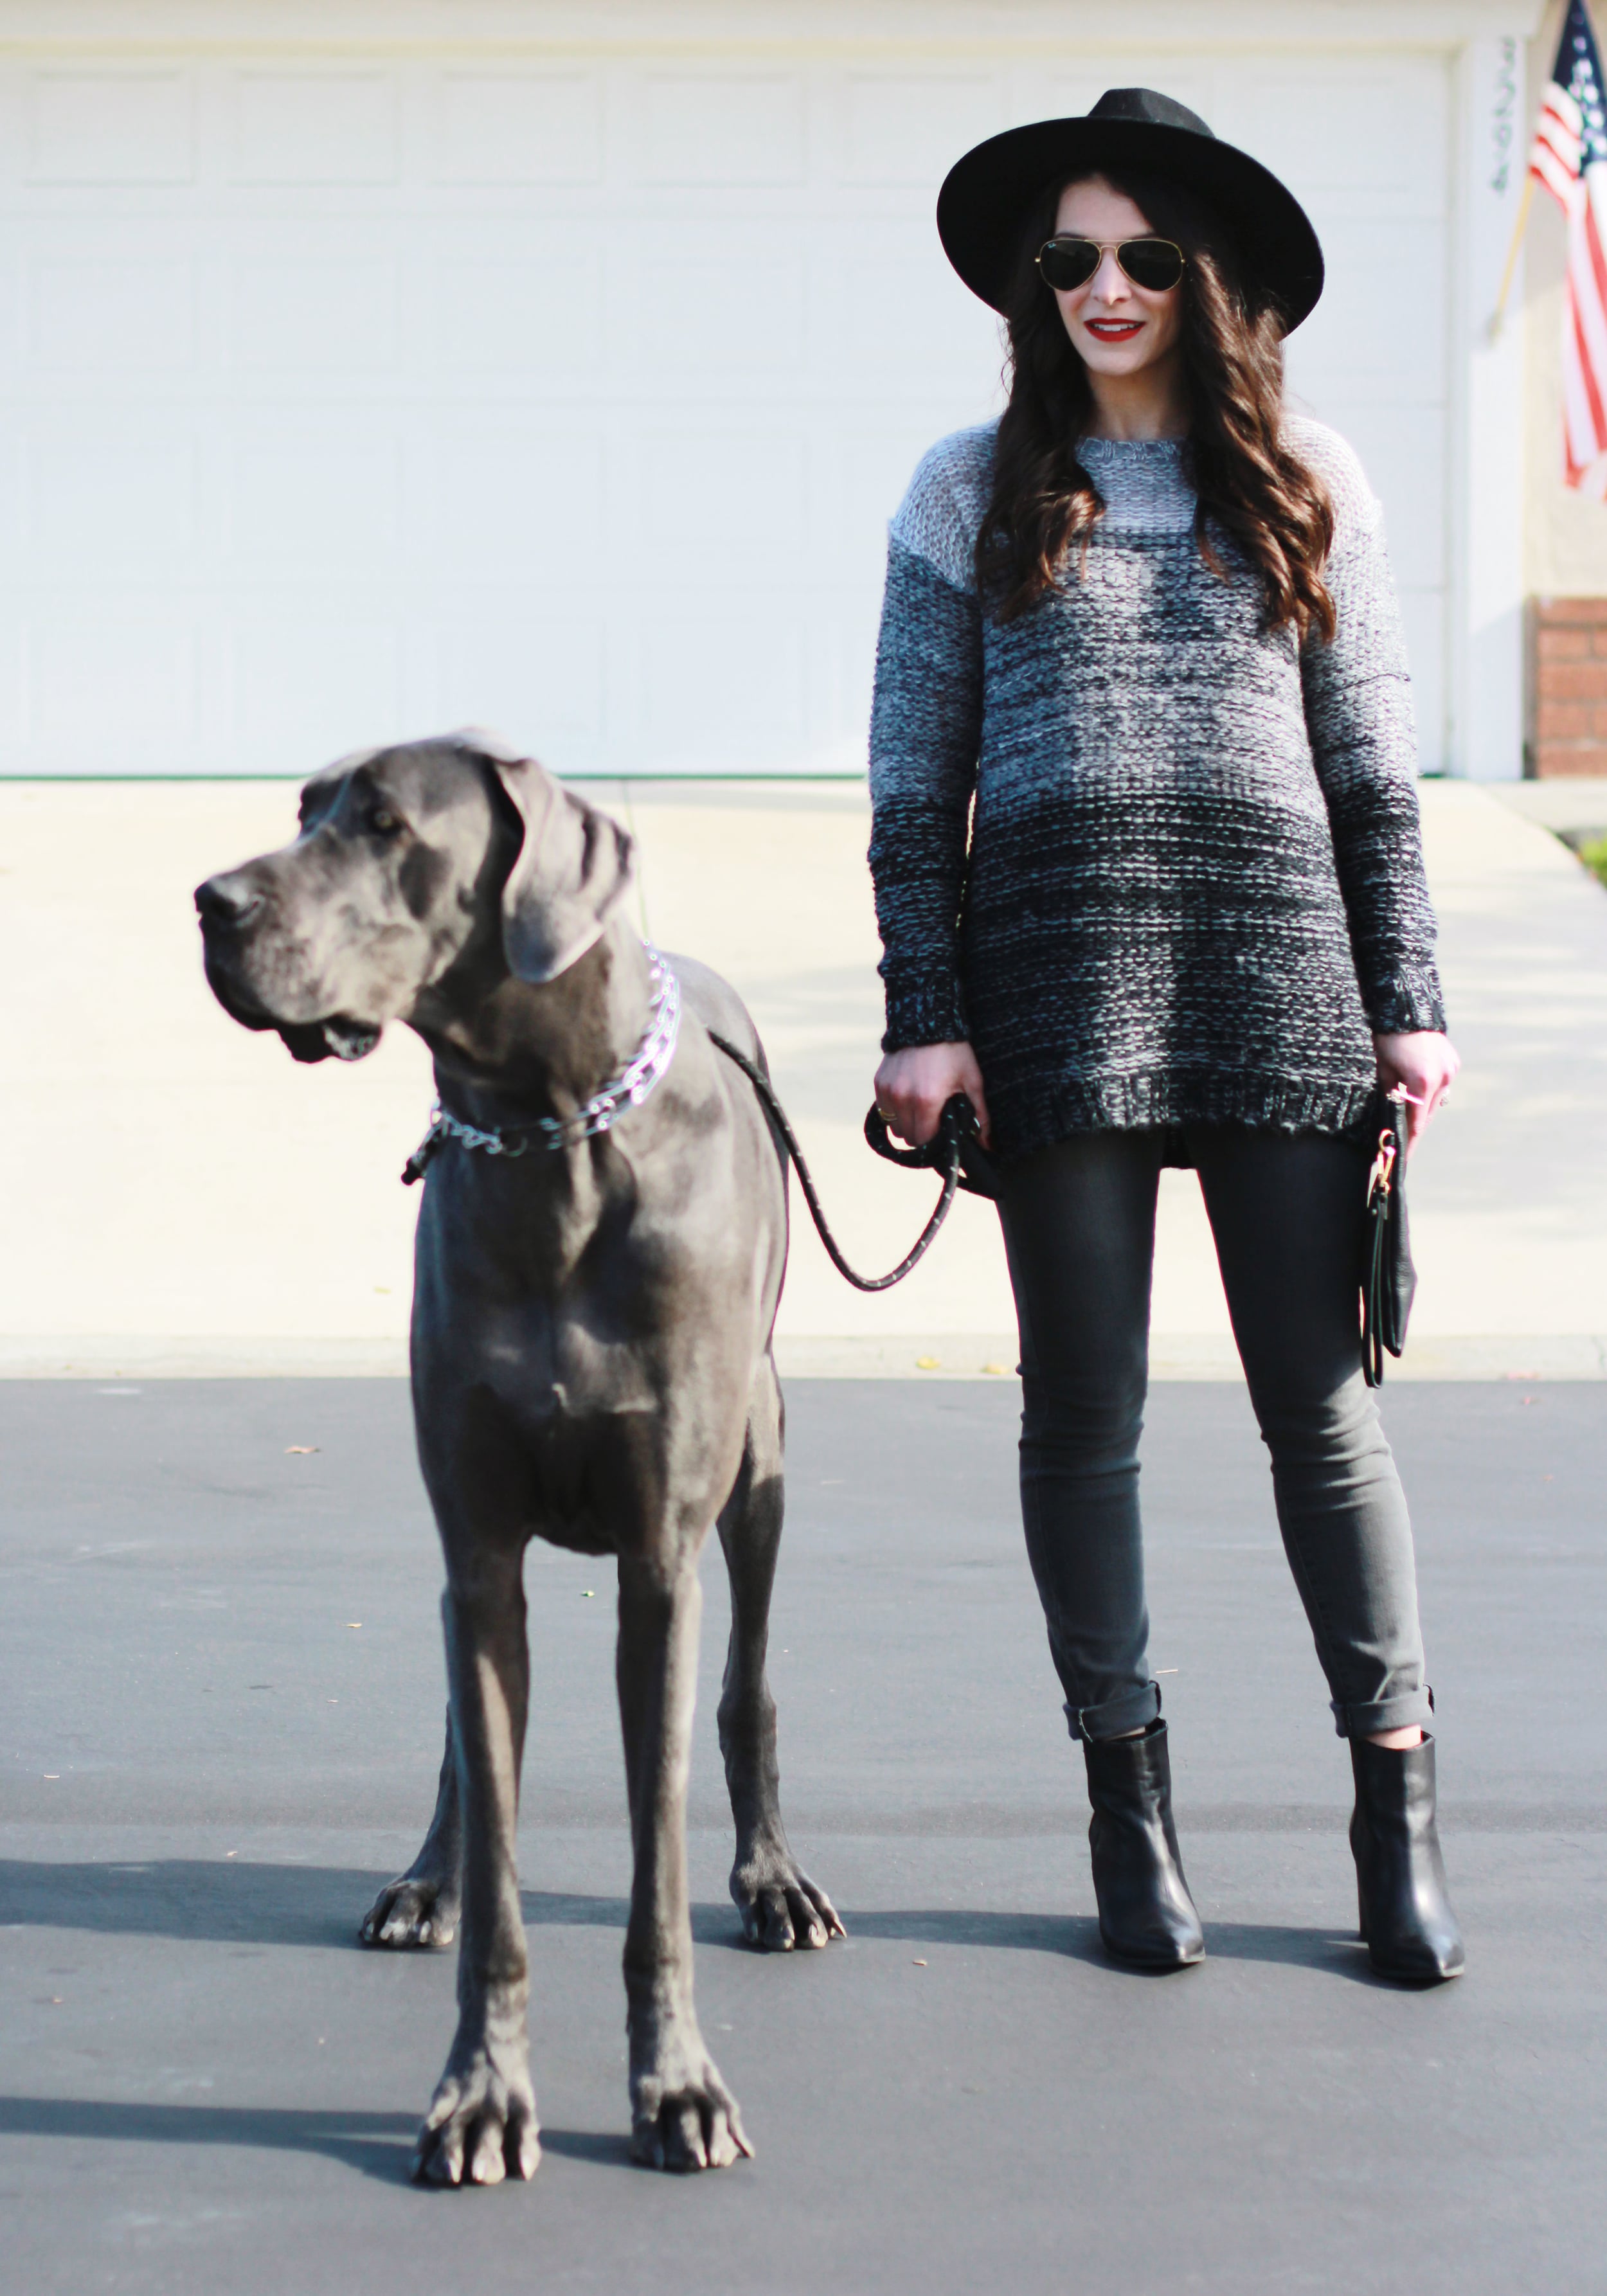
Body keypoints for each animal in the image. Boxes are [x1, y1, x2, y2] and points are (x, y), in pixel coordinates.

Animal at [197, 735, 840, 2185]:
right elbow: (494, 1854)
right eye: (302, 811)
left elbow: (658, 1868)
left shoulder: (662, 1559)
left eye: (386, 824)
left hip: (761, 1473)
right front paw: (480, 2096)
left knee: (752, 1684)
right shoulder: (479, 1549)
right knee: (458, 1744)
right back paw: (426, 1874)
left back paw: (774, 1878)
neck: (549, 1137)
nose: (210, 902)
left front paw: (677, 2089)